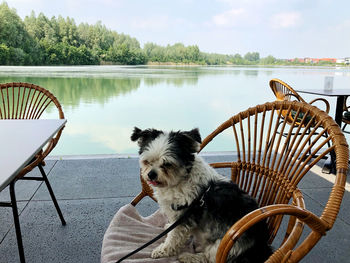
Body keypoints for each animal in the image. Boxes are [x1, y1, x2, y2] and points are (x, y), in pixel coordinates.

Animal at [131, 127, 274, 262]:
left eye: (167, 164)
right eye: (147, 161)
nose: (151, 174)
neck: (182, 179)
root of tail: (263, 247)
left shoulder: (185, 215)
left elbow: (174, 237)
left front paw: (163, 250)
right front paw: (168, 227)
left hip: (224, 245)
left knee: (209, 259)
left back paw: (189, 257)